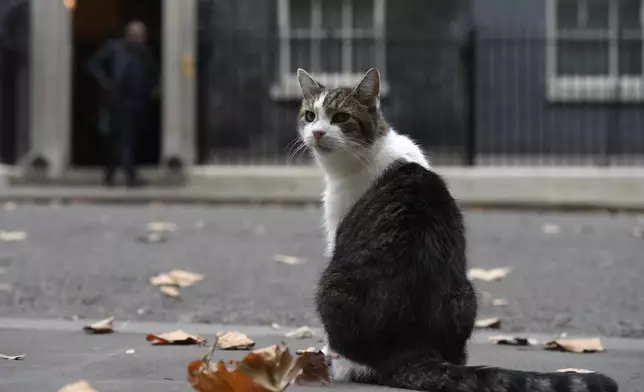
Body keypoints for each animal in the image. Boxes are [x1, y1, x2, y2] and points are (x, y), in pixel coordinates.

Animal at [294, 68, 616, 392]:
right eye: (310, 115)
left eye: (340, 117)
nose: (317, 132)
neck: (371, 151)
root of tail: (410, 350)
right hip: (467, 292)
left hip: (331, 282)